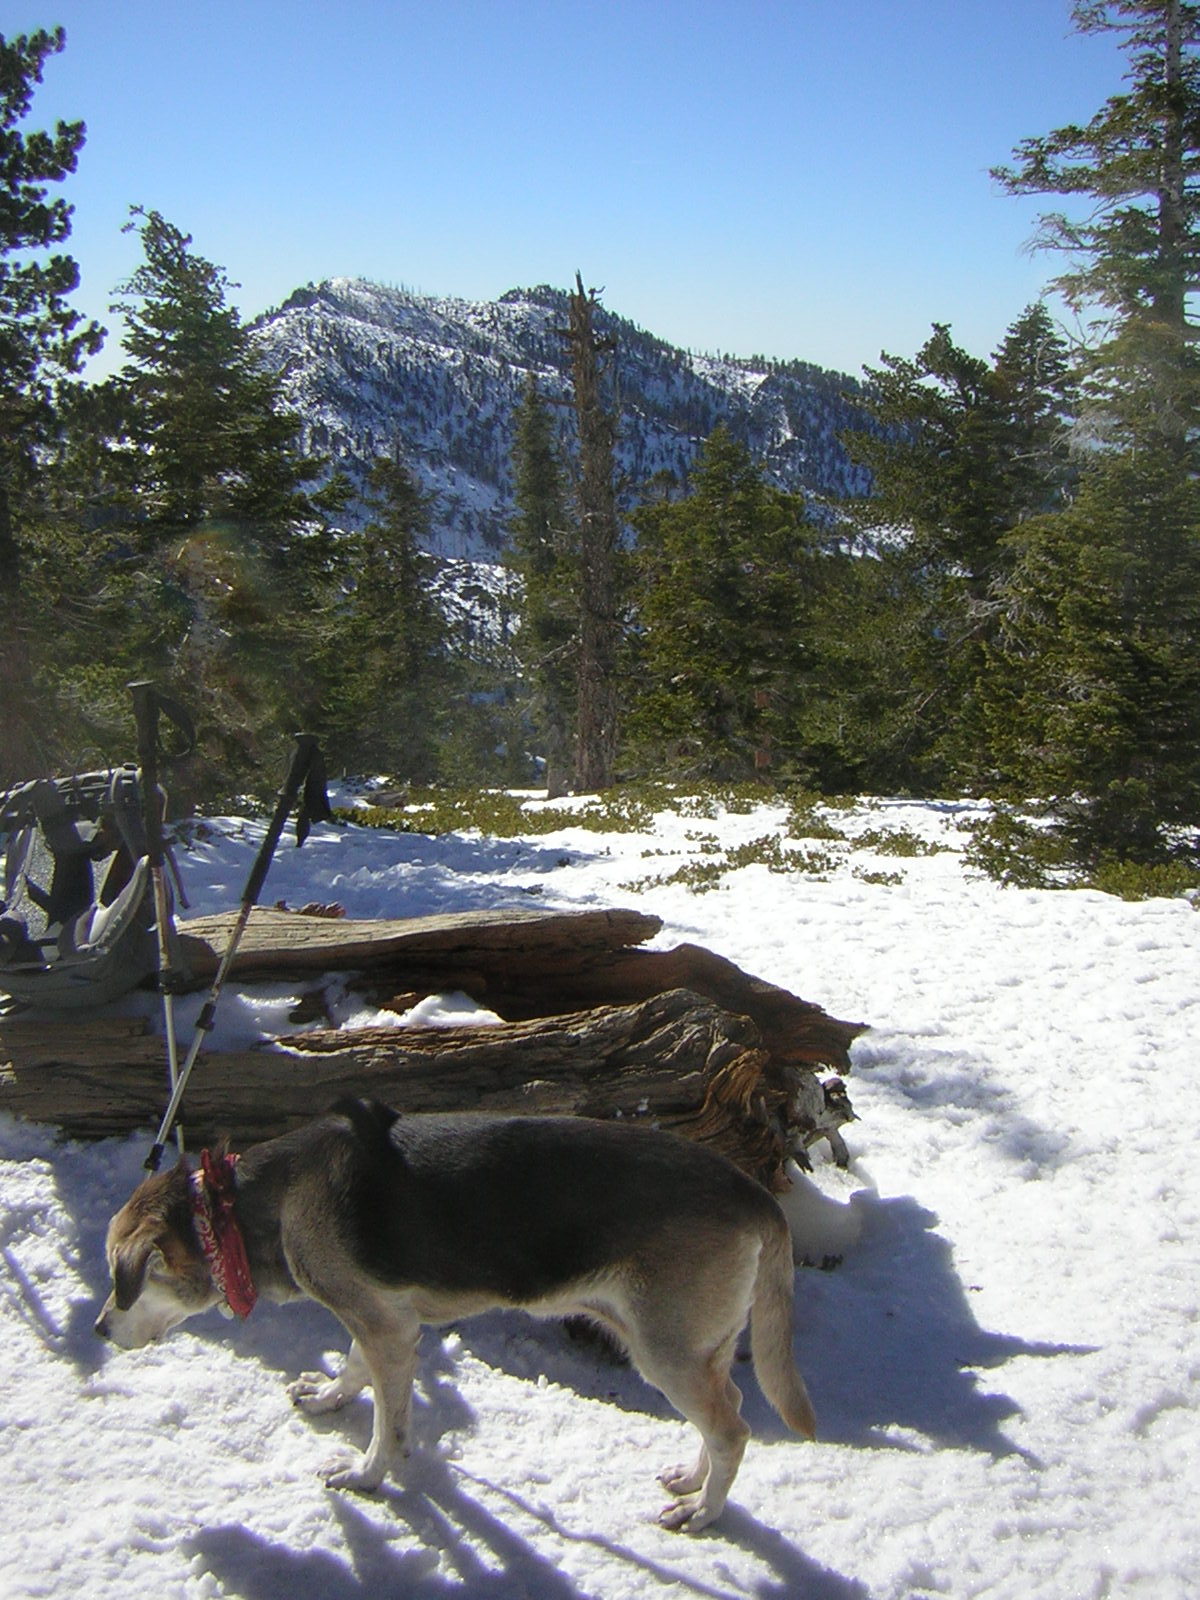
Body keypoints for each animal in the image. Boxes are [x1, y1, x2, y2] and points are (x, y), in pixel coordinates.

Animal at [98, 1094, 819, 1529]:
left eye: (120, 1277)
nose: (100, 1328)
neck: (242, 1208)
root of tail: (754, 1192)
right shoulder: (382, 1322)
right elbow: (355, 1370)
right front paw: (331, 1396)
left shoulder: (387, 1329)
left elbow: (388, 1428)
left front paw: (365, 1476)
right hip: (695, 1345)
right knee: (726, 1411)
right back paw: (691, 1479)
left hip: (664, 1350)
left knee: (732, 1431)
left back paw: (703, 1514)